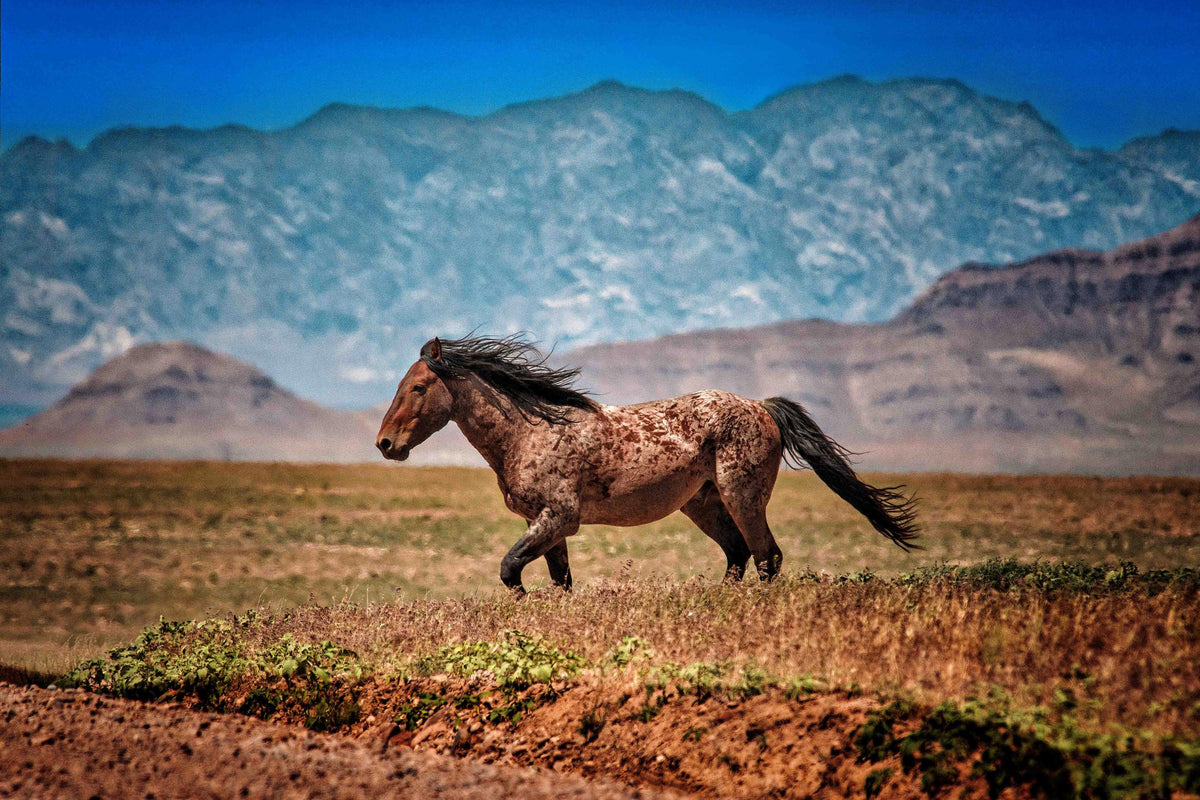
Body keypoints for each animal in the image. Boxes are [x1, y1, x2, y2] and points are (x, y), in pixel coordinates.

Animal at [375, 335, 918, 592]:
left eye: (419, 387)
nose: (384, 444)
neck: (527, 433)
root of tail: (762, 407)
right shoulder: (546, 525)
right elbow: (560, 580)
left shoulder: (558, 518)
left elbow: (510, 570)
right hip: (703, 505)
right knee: (739, 554)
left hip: (742, 496)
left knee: (767, 556)